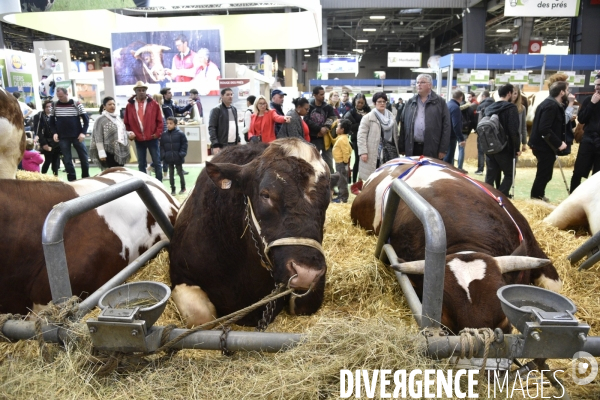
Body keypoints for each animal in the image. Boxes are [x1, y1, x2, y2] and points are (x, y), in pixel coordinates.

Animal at [169, 138, 330, 328]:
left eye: (327, 199)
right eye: (265, 195)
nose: (307, 273)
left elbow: (305, 305)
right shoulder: (180, 274)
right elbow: (201, 317)